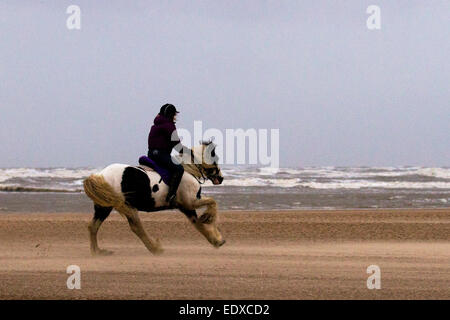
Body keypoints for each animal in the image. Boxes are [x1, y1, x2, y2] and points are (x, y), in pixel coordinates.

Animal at [82, 140, 225, 255]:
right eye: (215, 158)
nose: (221, 178)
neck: (189, 170)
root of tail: (100, 175)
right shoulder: (190, 202)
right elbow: (212, 202)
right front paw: (208, 218)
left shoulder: (186, 207)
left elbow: (198, 224)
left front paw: (216, 241)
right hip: (126, 207)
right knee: (137, 228)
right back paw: (156, 249)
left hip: (105, 207)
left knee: (93, 227)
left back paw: (97, 252)